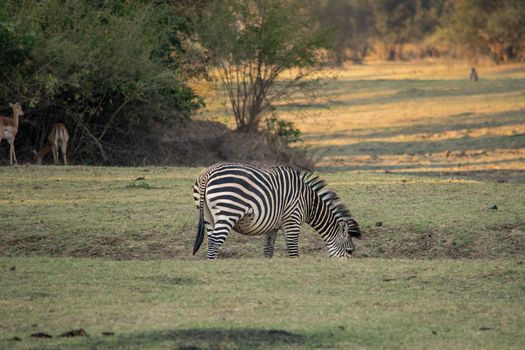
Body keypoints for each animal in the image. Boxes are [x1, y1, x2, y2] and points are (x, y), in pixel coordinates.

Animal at [192, 163, 360, 258]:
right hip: (229, 211)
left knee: (211, 241)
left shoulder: (272, 226)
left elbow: (268, 250)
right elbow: (293, 250)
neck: (308, 202)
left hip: (208, 216)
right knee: (215, 240)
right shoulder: (293, 220)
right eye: (350, 251)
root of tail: (208, 173)